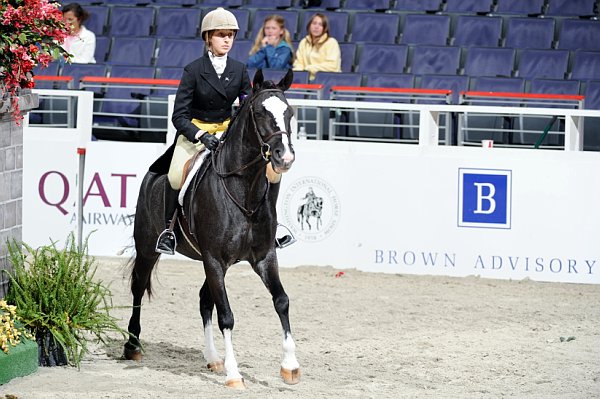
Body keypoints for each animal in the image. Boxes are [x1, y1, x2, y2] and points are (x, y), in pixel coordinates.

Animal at [123, 70, 298, 390]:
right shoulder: (214, 258)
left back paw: (213, 358)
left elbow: (281, 301)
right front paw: (234, 374)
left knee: (205, 300)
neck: (243, 191)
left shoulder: (263, 256)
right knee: (138, 288)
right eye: (259, 112)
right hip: (149, 248)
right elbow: (227, 316)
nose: (284, 158)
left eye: (289, 113)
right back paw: (132, 346)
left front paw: (290, 366)